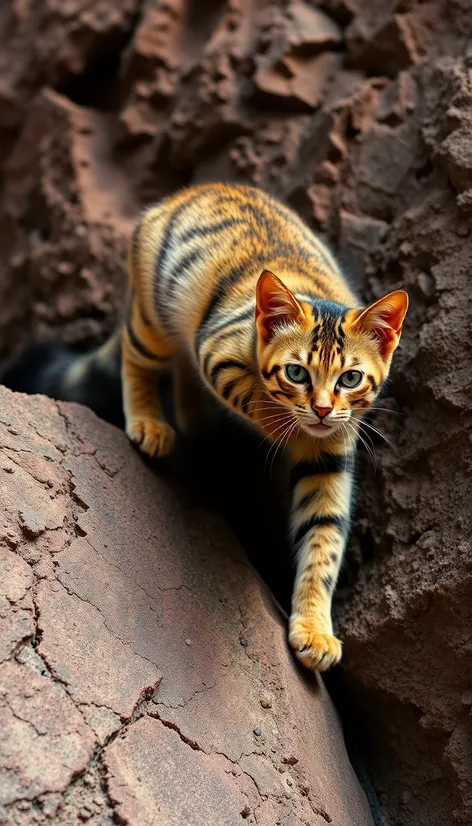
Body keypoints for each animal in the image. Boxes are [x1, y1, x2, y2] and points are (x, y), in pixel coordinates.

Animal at [0, 182, 406, 668]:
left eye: (350, 378)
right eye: (296, 373)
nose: (323, 410)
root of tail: (189, 192)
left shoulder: (331, 460)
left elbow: (323, 541)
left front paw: (314, 631)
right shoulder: (219, 354)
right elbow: (253, 398)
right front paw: (281, 422)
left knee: (181, 373)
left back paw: (196, 427)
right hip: (153, 318)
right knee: (138, 358)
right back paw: (151, 424)